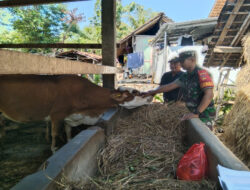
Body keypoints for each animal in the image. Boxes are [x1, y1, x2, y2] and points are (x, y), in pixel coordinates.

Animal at [0, 75, 152, 152]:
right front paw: (54, 150)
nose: (150, 96)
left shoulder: (70, 118)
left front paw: (67, 142)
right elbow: (55, 135)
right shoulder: (57, 115)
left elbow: (68, 133)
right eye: (135, 93)